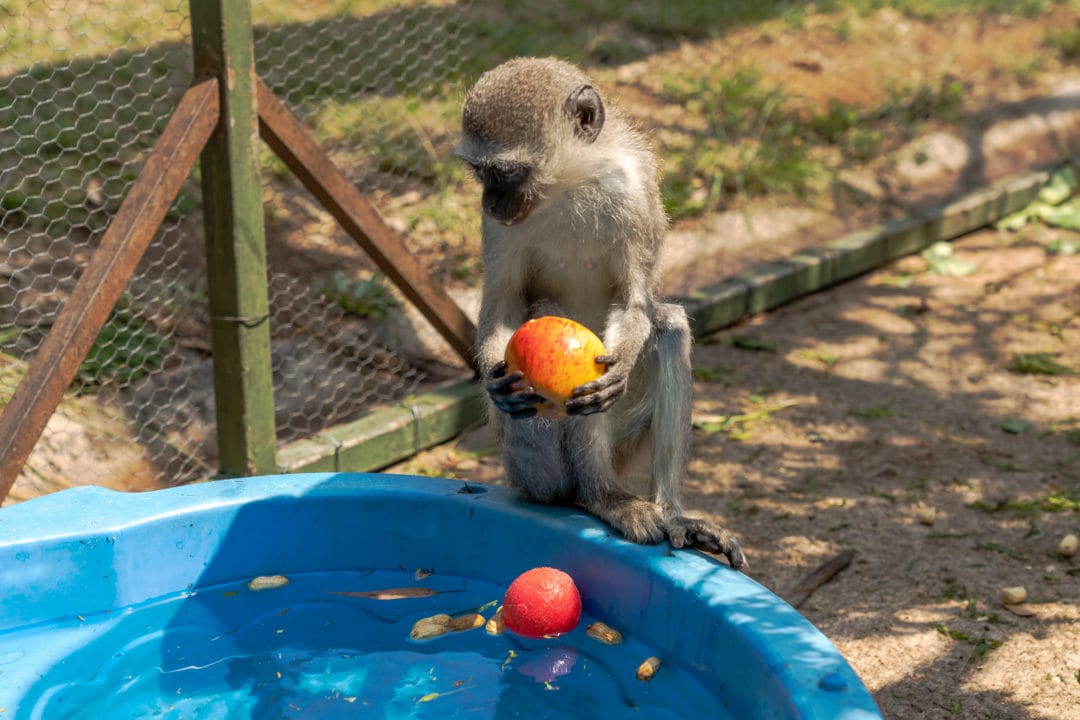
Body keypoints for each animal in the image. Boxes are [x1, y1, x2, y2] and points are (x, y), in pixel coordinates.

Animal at [455, 56, 743, 569]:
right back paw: (598, 497)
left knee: (667, 327)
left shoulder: (635, 190)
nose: (489, 202)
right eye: (481, 174)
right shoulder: (499, 227)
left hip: (629, 449)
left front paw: (620, 368)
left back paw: (667, 513)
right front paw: (494, 378)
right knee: (547, 317)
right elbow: (503, 303)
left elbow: (633, 301)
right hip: (531, 472)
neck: (572, 184)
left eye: (505, 173)